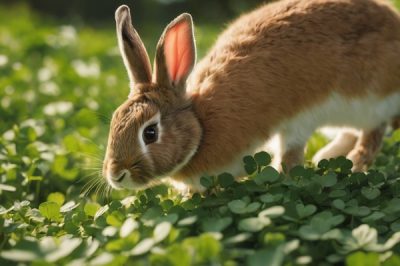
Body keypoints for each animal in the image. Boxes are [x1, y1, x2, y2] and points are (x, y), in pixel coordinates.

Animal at [102, 0, 400, 191]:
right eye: (114, 122)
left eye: (150, 133)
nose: (115, 175)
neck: (201, 125)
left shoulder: (296, 124)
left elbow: (290, 158)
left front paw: (282, 178)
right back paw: (327, 155)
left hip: (370, 99)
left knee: (374, 133)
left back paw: (353, 164)